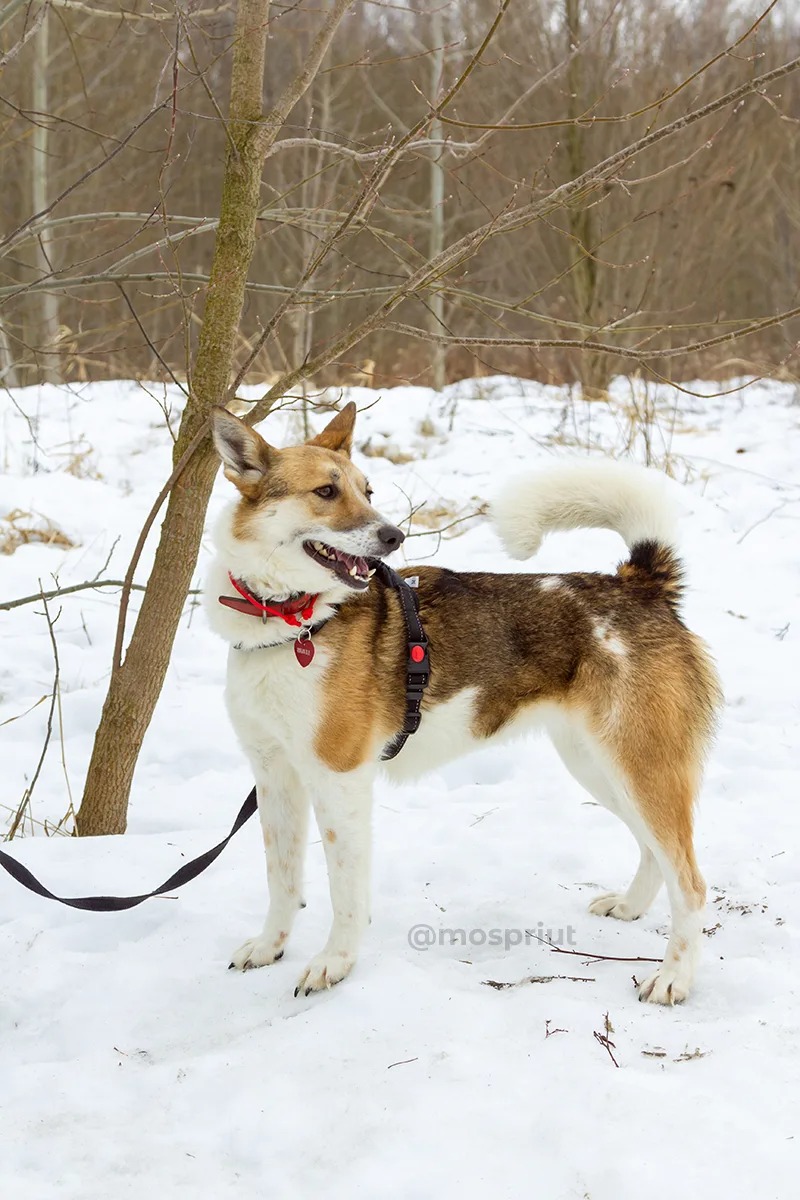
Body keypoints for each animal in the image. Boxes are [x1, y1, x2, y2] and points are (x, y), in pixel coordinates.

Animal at [205, 400, 719, 1003]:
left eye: (367, 490)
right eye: (326, 492)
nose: (393, 536)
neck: (293, 622)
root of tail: (640, 583)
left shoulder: (338, 779)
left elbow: (344, 892)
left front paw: (335, 963)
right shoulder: (275, 775)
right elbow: (281, 879)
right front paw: (271, 947)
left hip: (640, 766)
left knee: (691, 881)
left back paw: (674, 977)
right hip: (601, 767)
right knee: (654, 853)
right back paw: (631, 907)